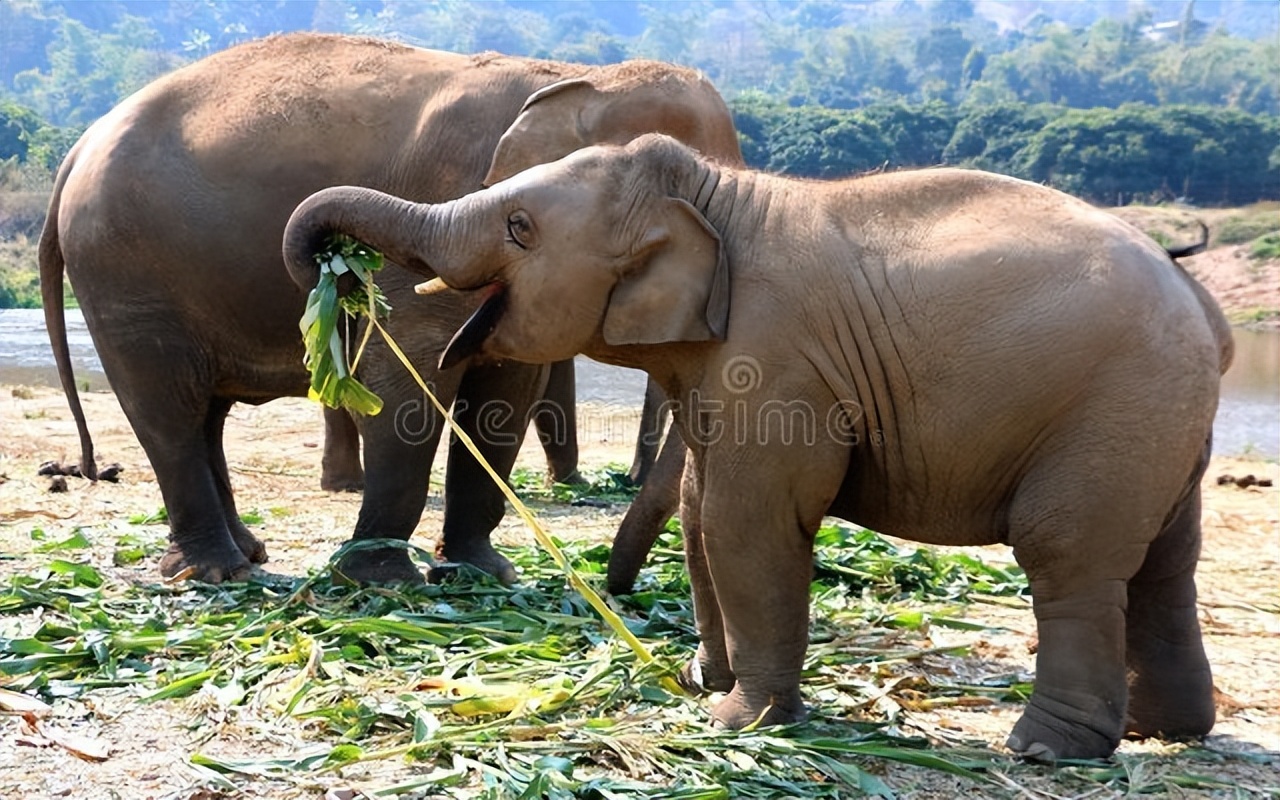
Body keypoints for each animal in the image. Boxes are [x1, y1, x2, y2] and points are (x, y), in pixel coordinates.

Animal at [40, 32, 742, 581]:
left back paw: (244, 555)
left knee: (205, 412)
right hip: (126, 273)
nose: (615, 590)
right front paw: (380, 581)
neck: (580, 77)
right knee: (170, 409)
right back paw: (216, 571)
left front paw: (481, 574)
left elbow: (508, 391)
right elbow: (404, 378)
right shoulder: (447, 195)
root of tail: (78, 148)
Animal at [285, 134, 1233, 757]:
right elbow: (704, 513)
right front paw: (705, 682)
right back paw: (1163, 730)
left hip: (1112, 409)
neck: (715, 195)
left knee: (1067, 556)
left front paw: (738, 723)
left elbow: (750, 521)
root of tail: (1201, 308)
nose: (329, 264)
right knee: (1163, 563)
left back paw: (1045, 750)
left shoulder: (778, 364)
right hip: (1160, 426)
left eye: (520, 226)